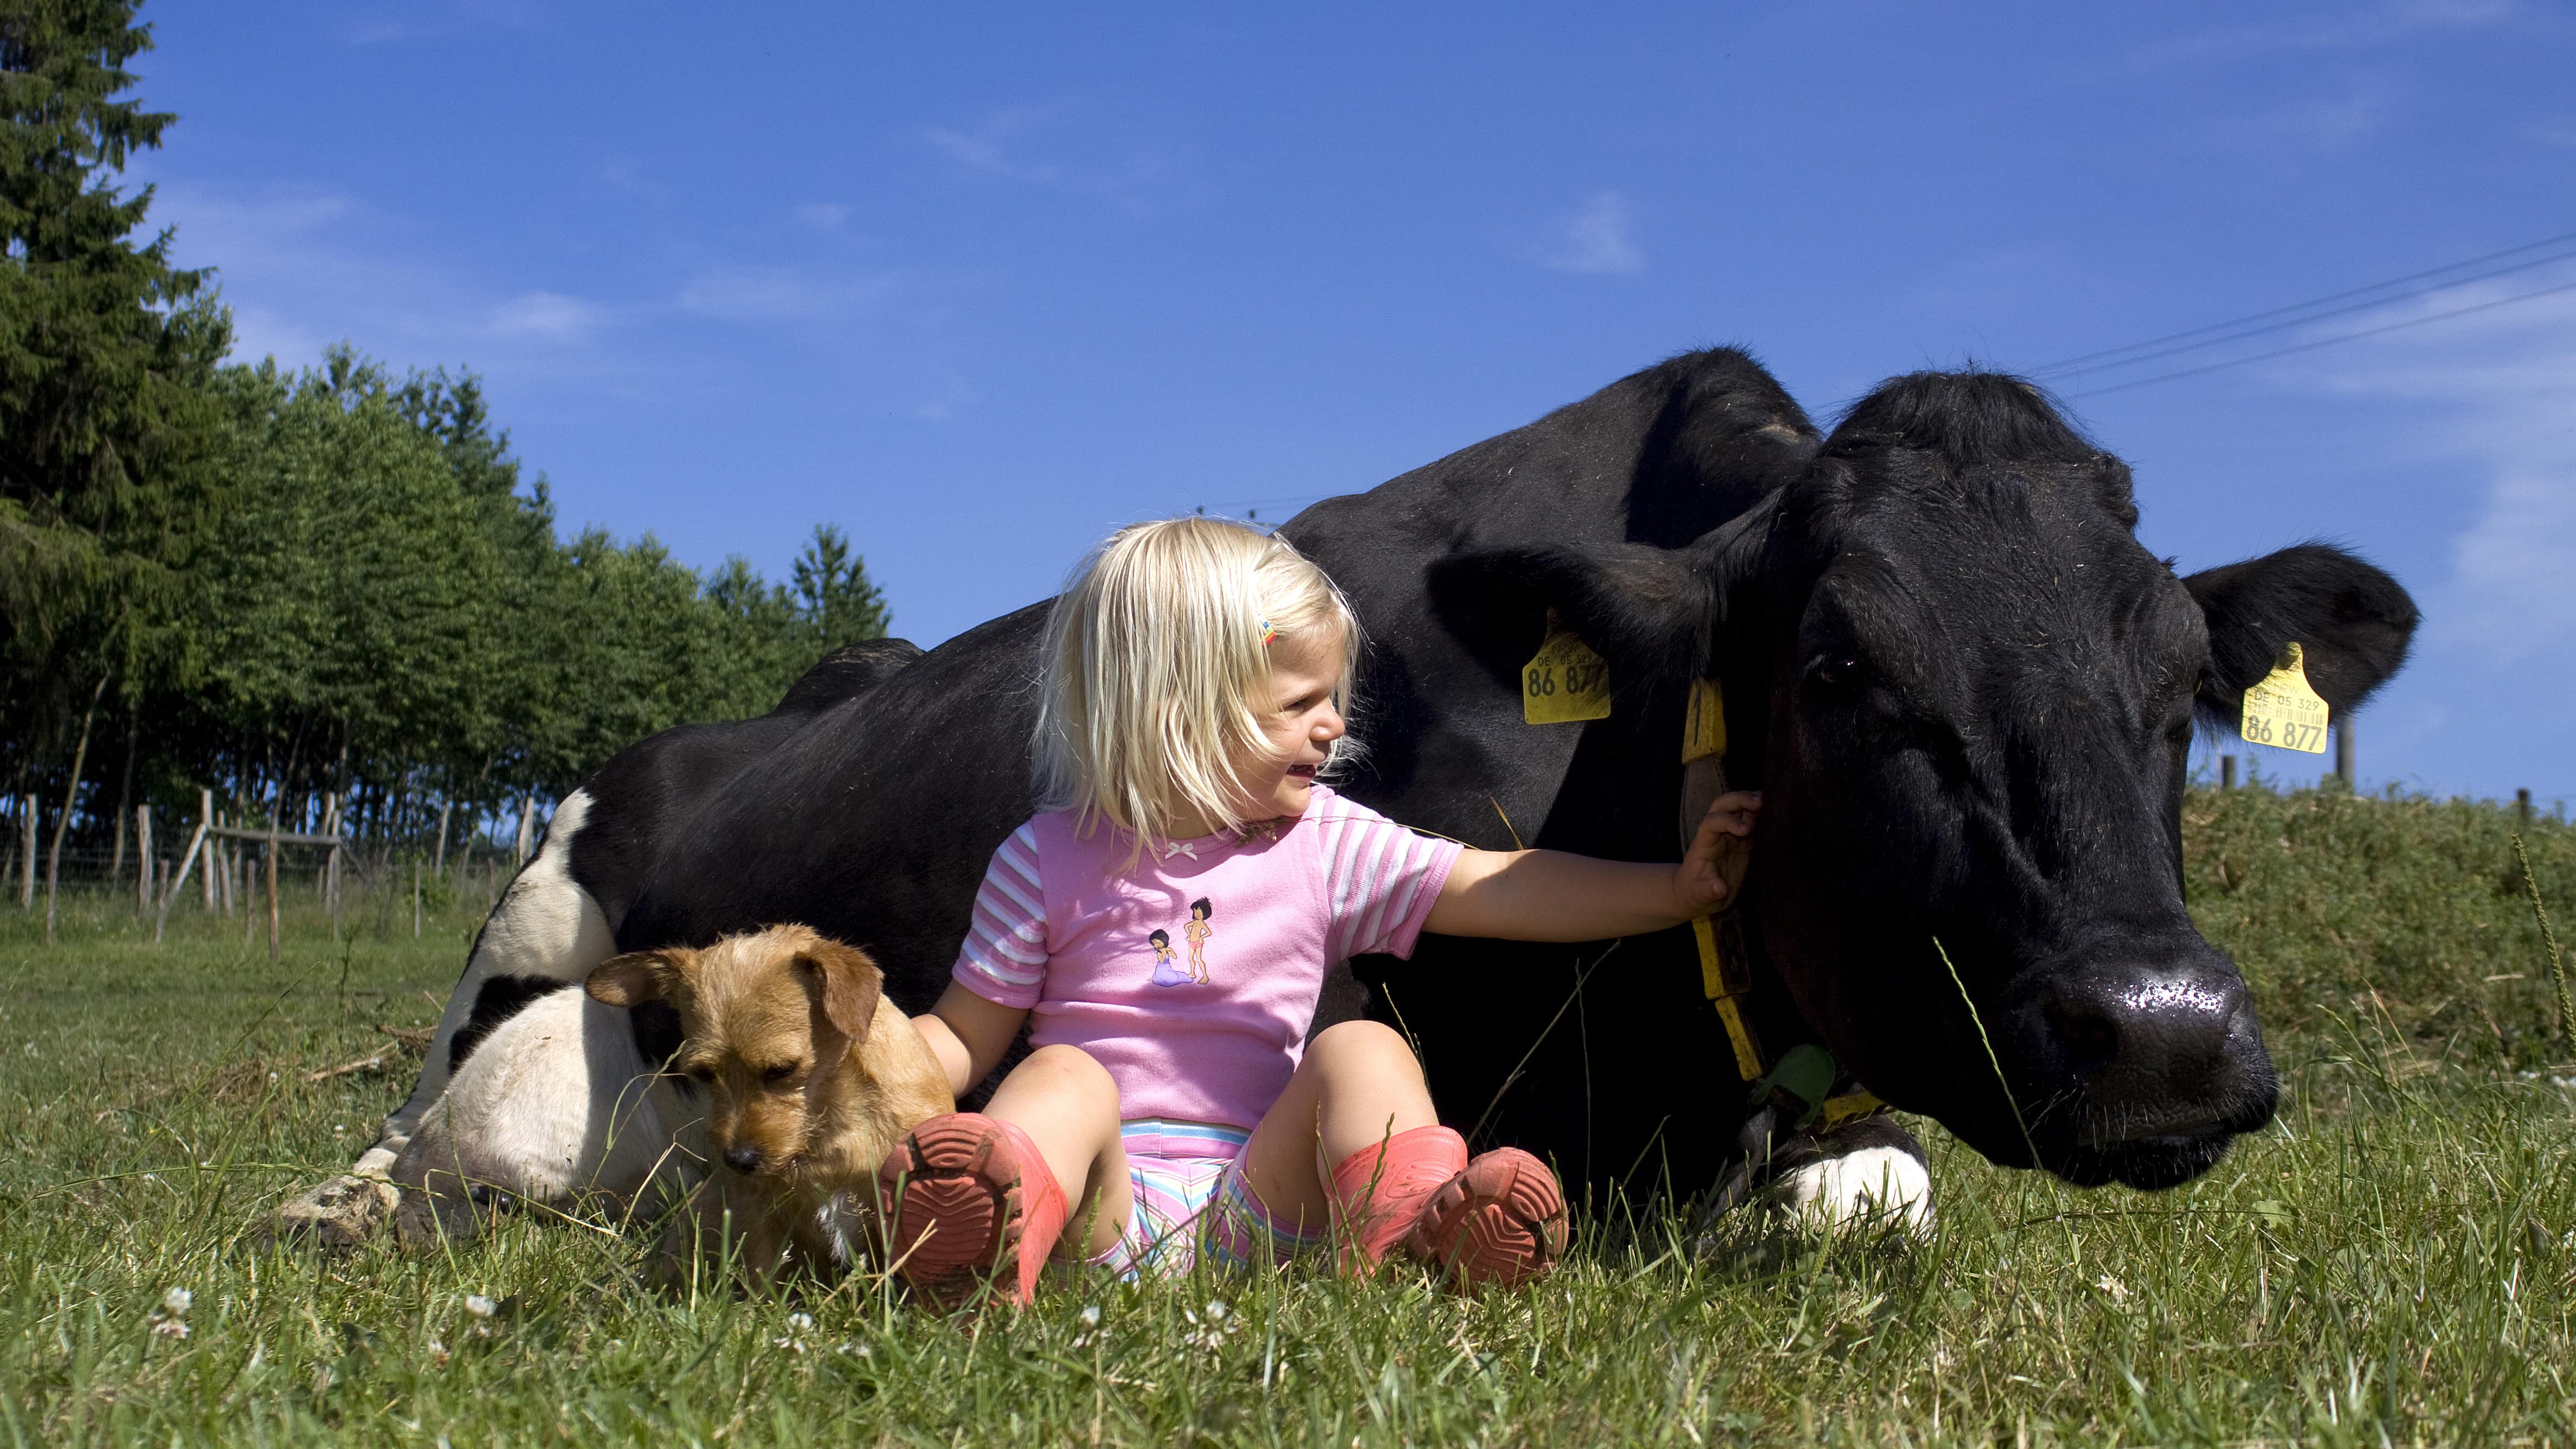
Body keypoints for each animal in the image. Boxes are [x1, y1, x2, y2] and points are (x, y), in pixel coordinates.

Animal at [317, 343, 2411, 1237]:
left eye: (2181, 686)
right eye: (1838, 670)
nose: (2162, 1032)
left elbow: (1880, 1197)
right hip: (521, 979)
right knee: (445, 1151)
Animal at [579, 918, 953, 1279]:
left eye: (782, 1070)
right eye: (703, 1074)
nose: (739, 1160)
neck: (830, 1125)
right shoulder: (758, 1215)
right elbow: (761, 1280)